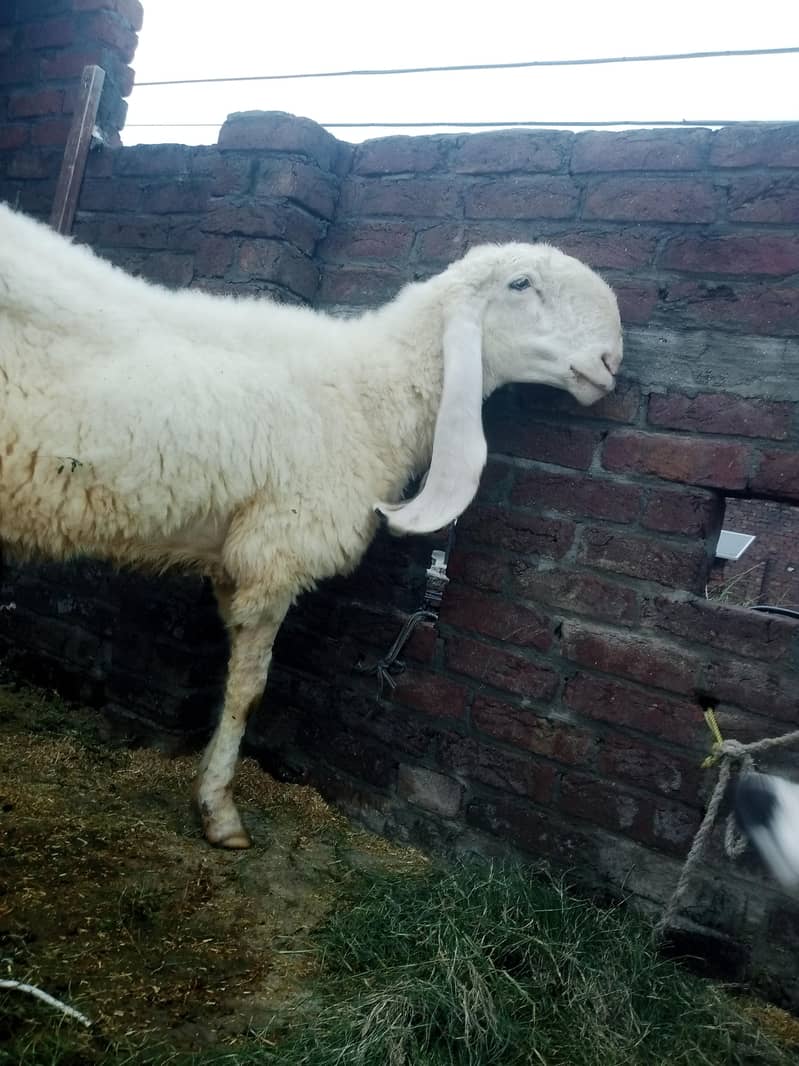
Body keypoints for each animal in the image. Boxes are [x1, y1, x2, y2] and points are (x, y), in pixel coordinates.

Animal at [0, 201, 623, 849]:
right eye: (521, 284)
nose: (610, 361)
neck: (367, 395)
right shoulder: (277, 550)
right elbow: (249, 690)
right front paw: (220, 811)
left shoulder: (235, 555)